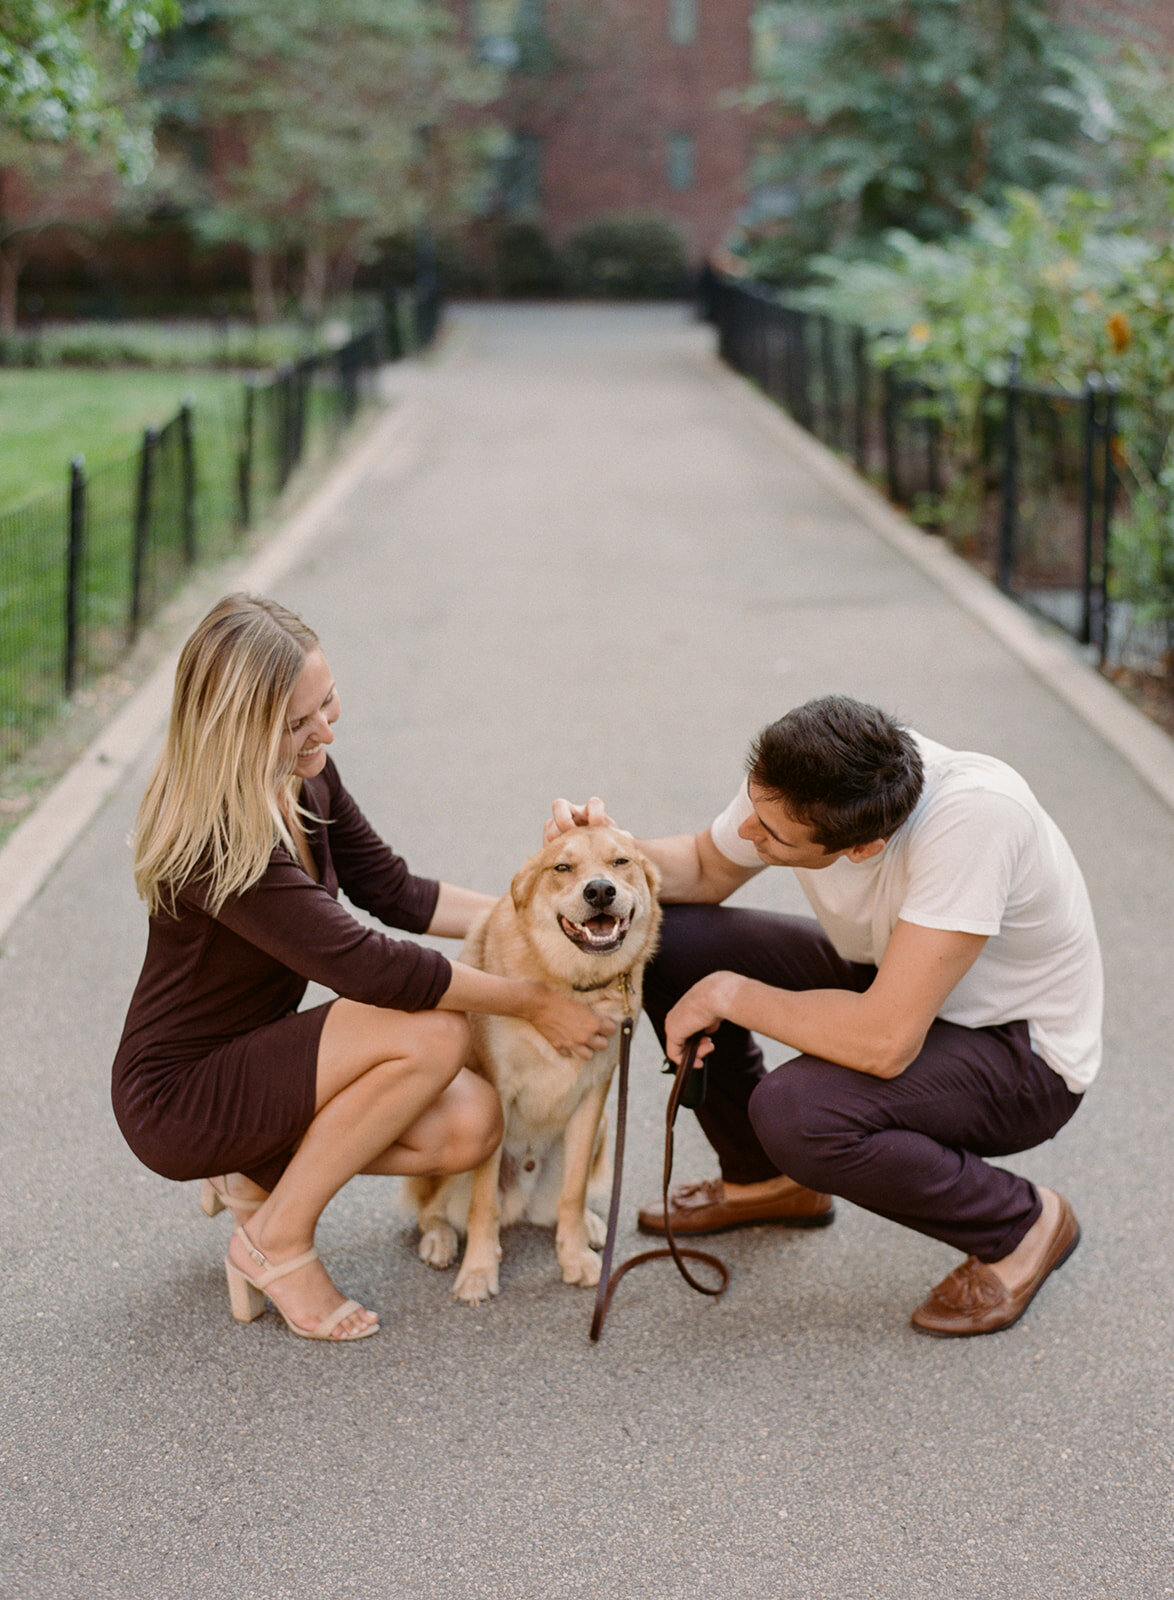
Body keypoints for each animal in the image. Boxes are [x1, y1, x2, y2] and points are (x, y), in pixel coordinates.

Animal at [404, 825, 662, 1299]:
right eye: (562, 867)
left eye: (620, 861)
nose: (600, 890)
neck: (571, 984)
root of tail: (520, 1202)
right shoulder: (498, 1093)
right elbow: (482, 1202)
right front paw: (479, 1269)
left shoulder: (594, 1095)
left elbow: (573, 1194)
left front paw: (575, 1256)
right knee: (432, 1209)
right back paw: (440, 1239)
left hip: (601, 1131)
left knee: (555, 1208)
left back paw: (589, 1227)